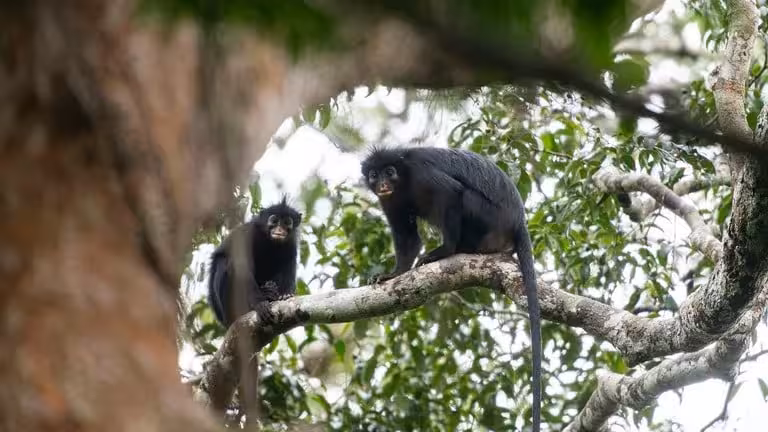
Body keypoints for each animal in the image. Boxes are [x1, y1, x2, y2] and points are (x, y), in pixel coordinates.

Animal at [207, 197, 302, 328]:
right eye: (274, 221)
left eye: (287, 222)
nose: (279, 230)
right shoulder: (248, 234)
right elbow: (242, 266)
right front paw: (259, 304)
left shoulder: (291, 244)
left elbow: (289, 264)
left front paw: (285, 293)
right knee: (224, 262)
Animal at [361, 146, 542, 432]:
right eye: (374, 175)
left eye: (390, 171)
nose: (382, 184)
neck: (403, 180)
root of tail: (518, 221)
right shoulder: (389, 201)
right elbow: (407, 237)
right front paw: (394, 274)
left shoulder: (421, 172)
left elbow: (452, 192)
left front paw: (444, 251)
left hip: (489, 218)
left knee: (464, 196)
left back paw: (456, 249)